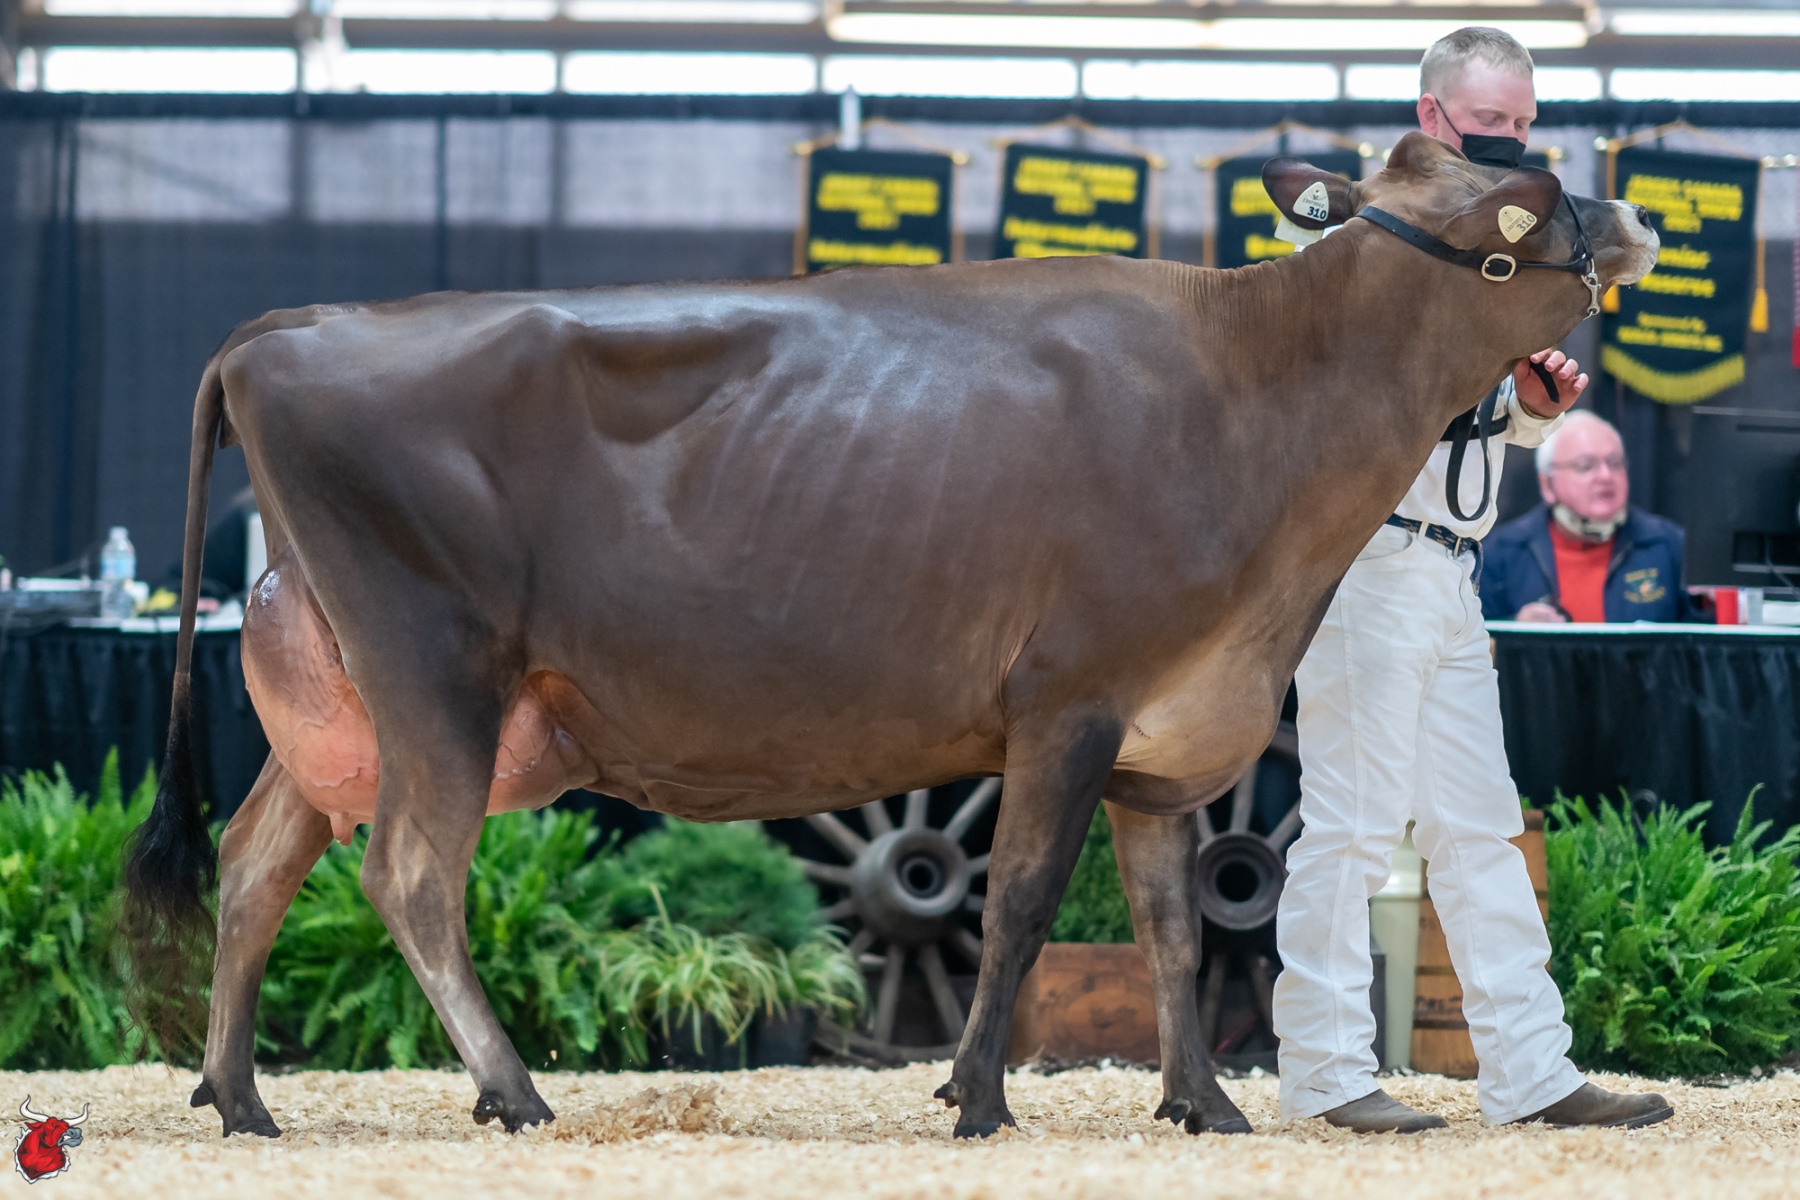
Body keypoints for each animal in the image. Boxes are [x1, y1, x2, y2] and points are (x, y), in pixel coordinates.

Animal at [124, 132, 1657, 1141]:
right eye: (1523, 202)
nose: (1635, 216)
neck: (1257, 392)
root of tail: (284, 329)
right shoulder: (1067, 703)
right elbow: (1020, 906)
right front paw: (975, 1098)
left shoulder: (1170, 730)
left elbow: (1169, 926)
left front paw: (1203, 1104)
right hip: (436, 669)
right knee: (409, 875)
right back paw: (509, 1091)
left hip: (337, 700)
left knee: (256, 861)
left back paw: (239, 1099)